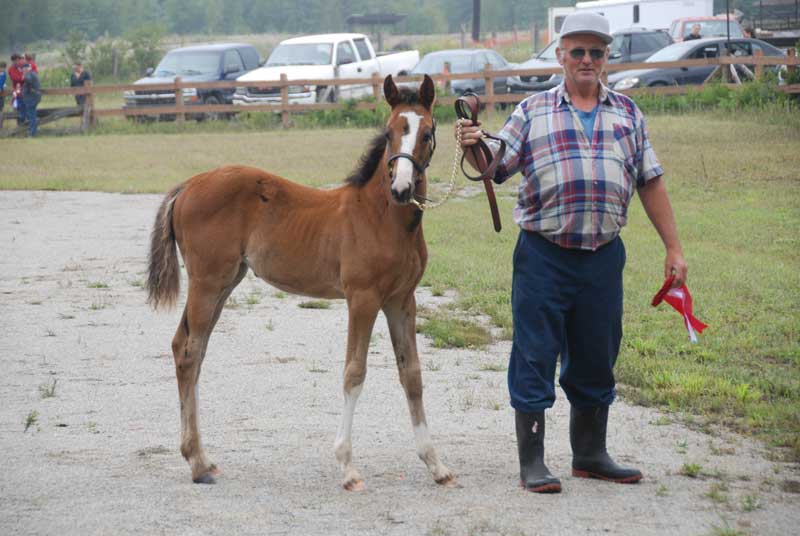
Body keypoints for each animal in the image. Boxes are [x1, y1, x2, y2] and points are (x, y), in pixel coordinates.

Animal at [146, 74, 455, 490]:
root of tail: (188, 185)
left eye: (428, 132)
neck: (381, 217)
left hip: (224, 284)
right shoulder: (362, 298)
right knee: (191, 352)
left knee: (186, 346)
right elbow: (354, 372)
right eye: (390, 132)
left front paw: (435, 465)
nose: (402, 188)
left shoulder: (402, 300)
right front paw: (347, 468)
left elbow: (412, 375)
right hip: (207, 282)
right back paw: (197, 463)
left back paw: (202, 459)